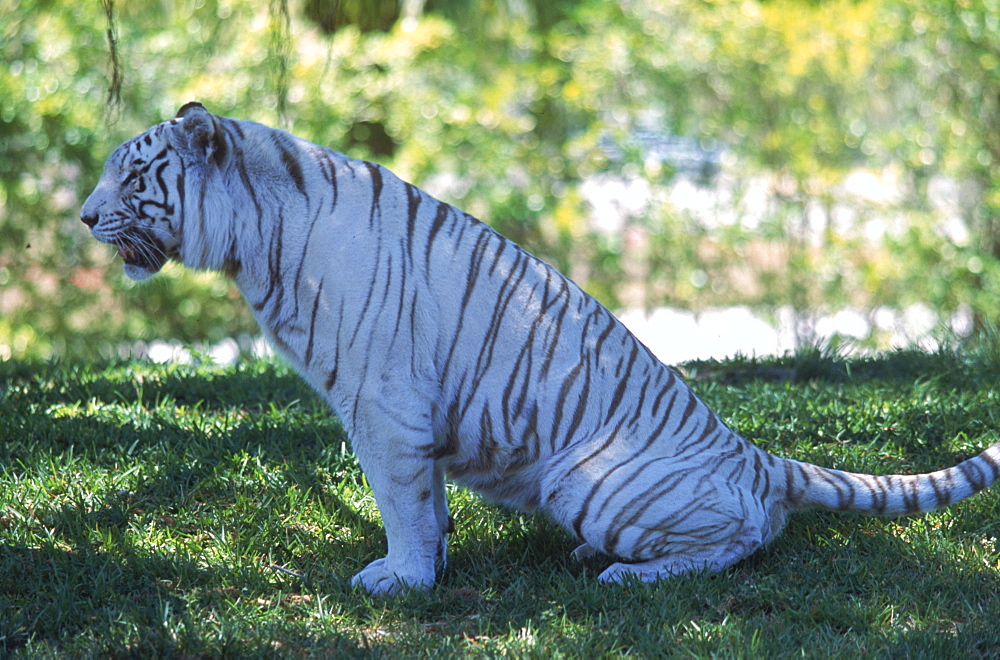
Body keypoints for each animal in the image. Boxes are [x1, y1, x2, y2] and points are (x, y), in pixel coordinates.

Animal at [82, 103, 1000, 592]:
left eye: (132, 176)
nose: (85, 218)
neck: (253, 242)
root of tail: (754, 454)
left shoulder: (383, 408)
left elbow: (400, 502)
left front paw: (400, 580)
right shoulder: (398, 416)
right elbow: (426, 505)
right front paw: (429, 563)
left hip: (583, 477)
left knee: (747, 538)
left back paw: (626, 572)